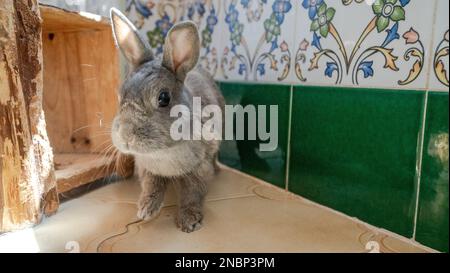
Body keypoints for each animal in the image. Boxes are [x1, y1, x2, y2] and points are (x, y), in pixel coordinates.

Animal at [109, 7, 225, 231]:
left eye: (163, 98)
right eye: (119, 96)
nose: (125, 134)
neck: (163, 151)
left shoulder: (200, 167)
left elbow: (192, 193)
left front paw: (189, 221)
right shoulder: (148, 169)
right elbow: (152, 187)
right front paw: (145, 210)